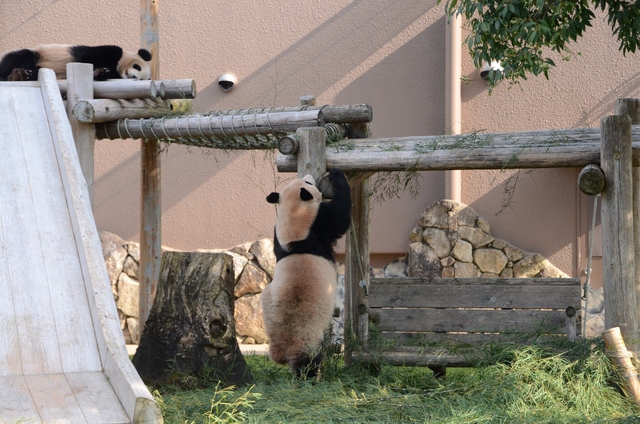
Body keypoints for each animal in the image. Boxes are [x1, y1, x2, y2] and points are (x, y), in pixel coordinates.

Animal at [0, 44, 152, 82]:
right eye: (137, 66)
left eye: (141, 79)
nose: (134, 77)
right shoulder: (110, 51)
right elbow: (85, 58)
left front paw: (101, 72)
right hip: (39, 54)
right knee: (22, 57)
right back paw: (16, 75)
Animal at [262, 169, 356, 378]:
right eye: (308, 183)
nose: (309, 176)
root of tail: (283, 348)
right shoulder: (318, 223)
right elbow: (340, 216)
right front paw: (337, 175)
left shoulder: (278, 236)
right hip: (307, 334)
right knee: (308, 359)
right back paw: (308, 378)